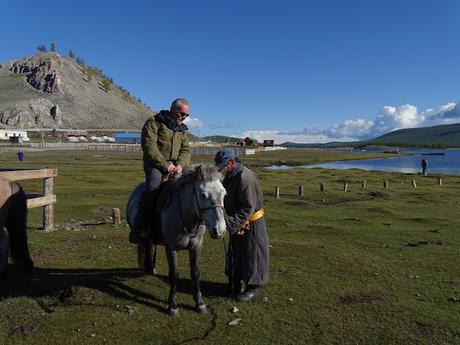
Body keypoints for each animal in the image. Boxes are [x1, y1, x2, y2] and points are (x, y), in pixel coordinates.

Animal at [126, 164, 226, 314]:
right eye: (203, 195)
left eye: (224, 194)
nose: (219, 230)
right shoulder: (171, 247)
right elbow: (174, 274)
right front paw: (172, 305)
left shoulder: (197, 245)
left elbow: (195, 272)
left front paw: (200, 303)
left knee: (150, 247)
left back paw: (150, 269)